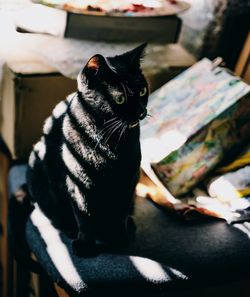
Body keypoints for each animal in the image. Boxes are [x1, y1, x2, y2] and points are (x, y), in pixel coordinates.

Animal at [26, 42, 148, 256]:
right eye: (120, 99)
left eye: (142, 91)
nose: (141, 111)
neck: (108, 141)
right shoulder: (78, 183)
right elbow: (84, 216)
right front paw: (85, 245)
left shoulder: (128, 180)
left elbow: (121, 213)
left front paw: (120, 238)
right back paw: (68, 228)